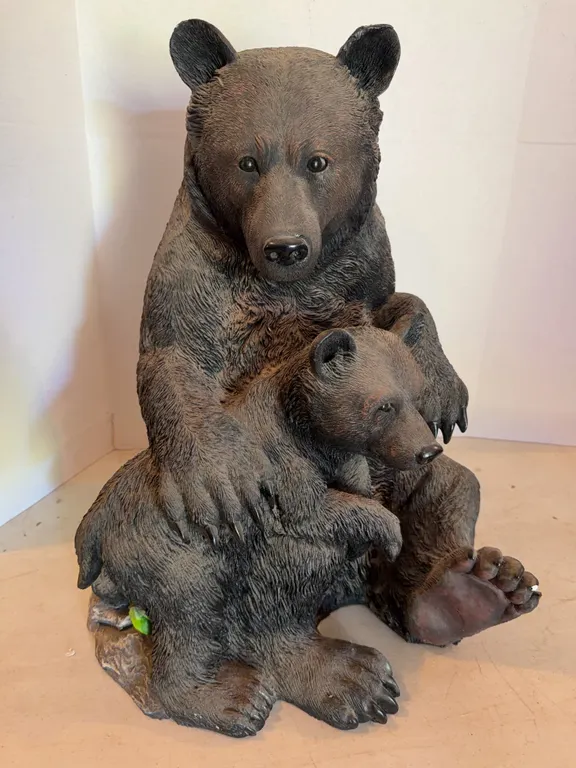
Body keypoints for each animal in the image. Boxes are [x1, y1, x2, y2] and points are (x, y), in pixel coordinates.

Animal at [76, 326, 447, 736]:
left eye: (418, 398)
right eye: (384, 407)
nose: (427, 450)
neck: (306, 428)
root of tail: (94, 520)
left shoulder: (338, 457)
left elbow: (352, 486)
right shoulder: (279, 463)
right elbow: (310, 514)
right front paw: (388, 530)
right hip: (163, 547)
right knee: (195, 604)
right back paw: (235, 699)